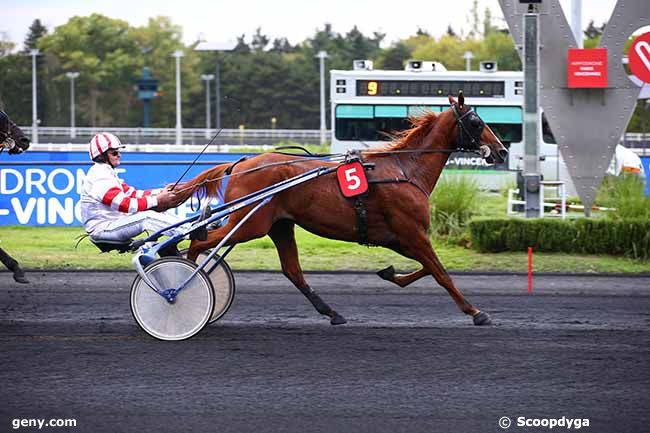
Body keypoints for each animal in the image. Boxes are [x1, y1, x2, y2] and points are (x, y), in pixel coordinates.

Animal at [163, 94, 506, 324]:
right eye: (476, 121)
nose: (501, 151)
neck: (405, 169)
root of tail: (241, 163)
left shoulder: (398, 237)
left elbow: (427, 268)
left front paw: (389, 273)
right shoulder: (412, 232)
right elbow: (440, 272)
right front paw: (476, 312)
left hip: (278, 225)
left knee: (292, 271)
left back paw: (332, 312)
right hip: (251, 224)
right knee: (198, 241)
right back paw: (183, 284)